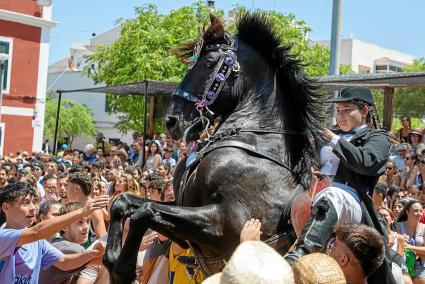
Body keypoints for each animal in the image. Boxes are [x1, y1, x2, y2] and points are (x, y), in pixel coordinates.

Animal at [104, 12, 326, 282]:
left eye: (210, 63)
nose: (171, 121)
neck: (254, 144)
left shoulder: (223, 224)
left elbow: (144, 212)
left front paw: (123, 269)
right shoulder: (182, 216)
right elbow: (124, 202)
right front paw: (112, 260)